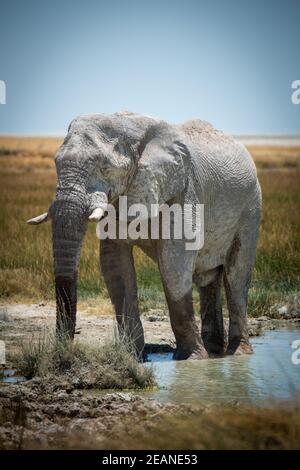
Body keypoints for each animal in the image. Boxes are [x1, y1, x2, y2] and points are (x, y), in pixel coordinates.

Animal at [28, 111, 262, 360]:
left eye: (104, 167)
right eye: (55, 163)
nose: (63, 351)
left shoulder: (183, 190)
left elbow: (174, 262)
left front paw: (191, 359)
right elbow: (115, 263)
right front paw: (133, 356)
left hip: (251, 208)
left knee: (236, 277)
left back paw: (238, 353)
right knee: (209, 278)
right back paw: (214, 350)